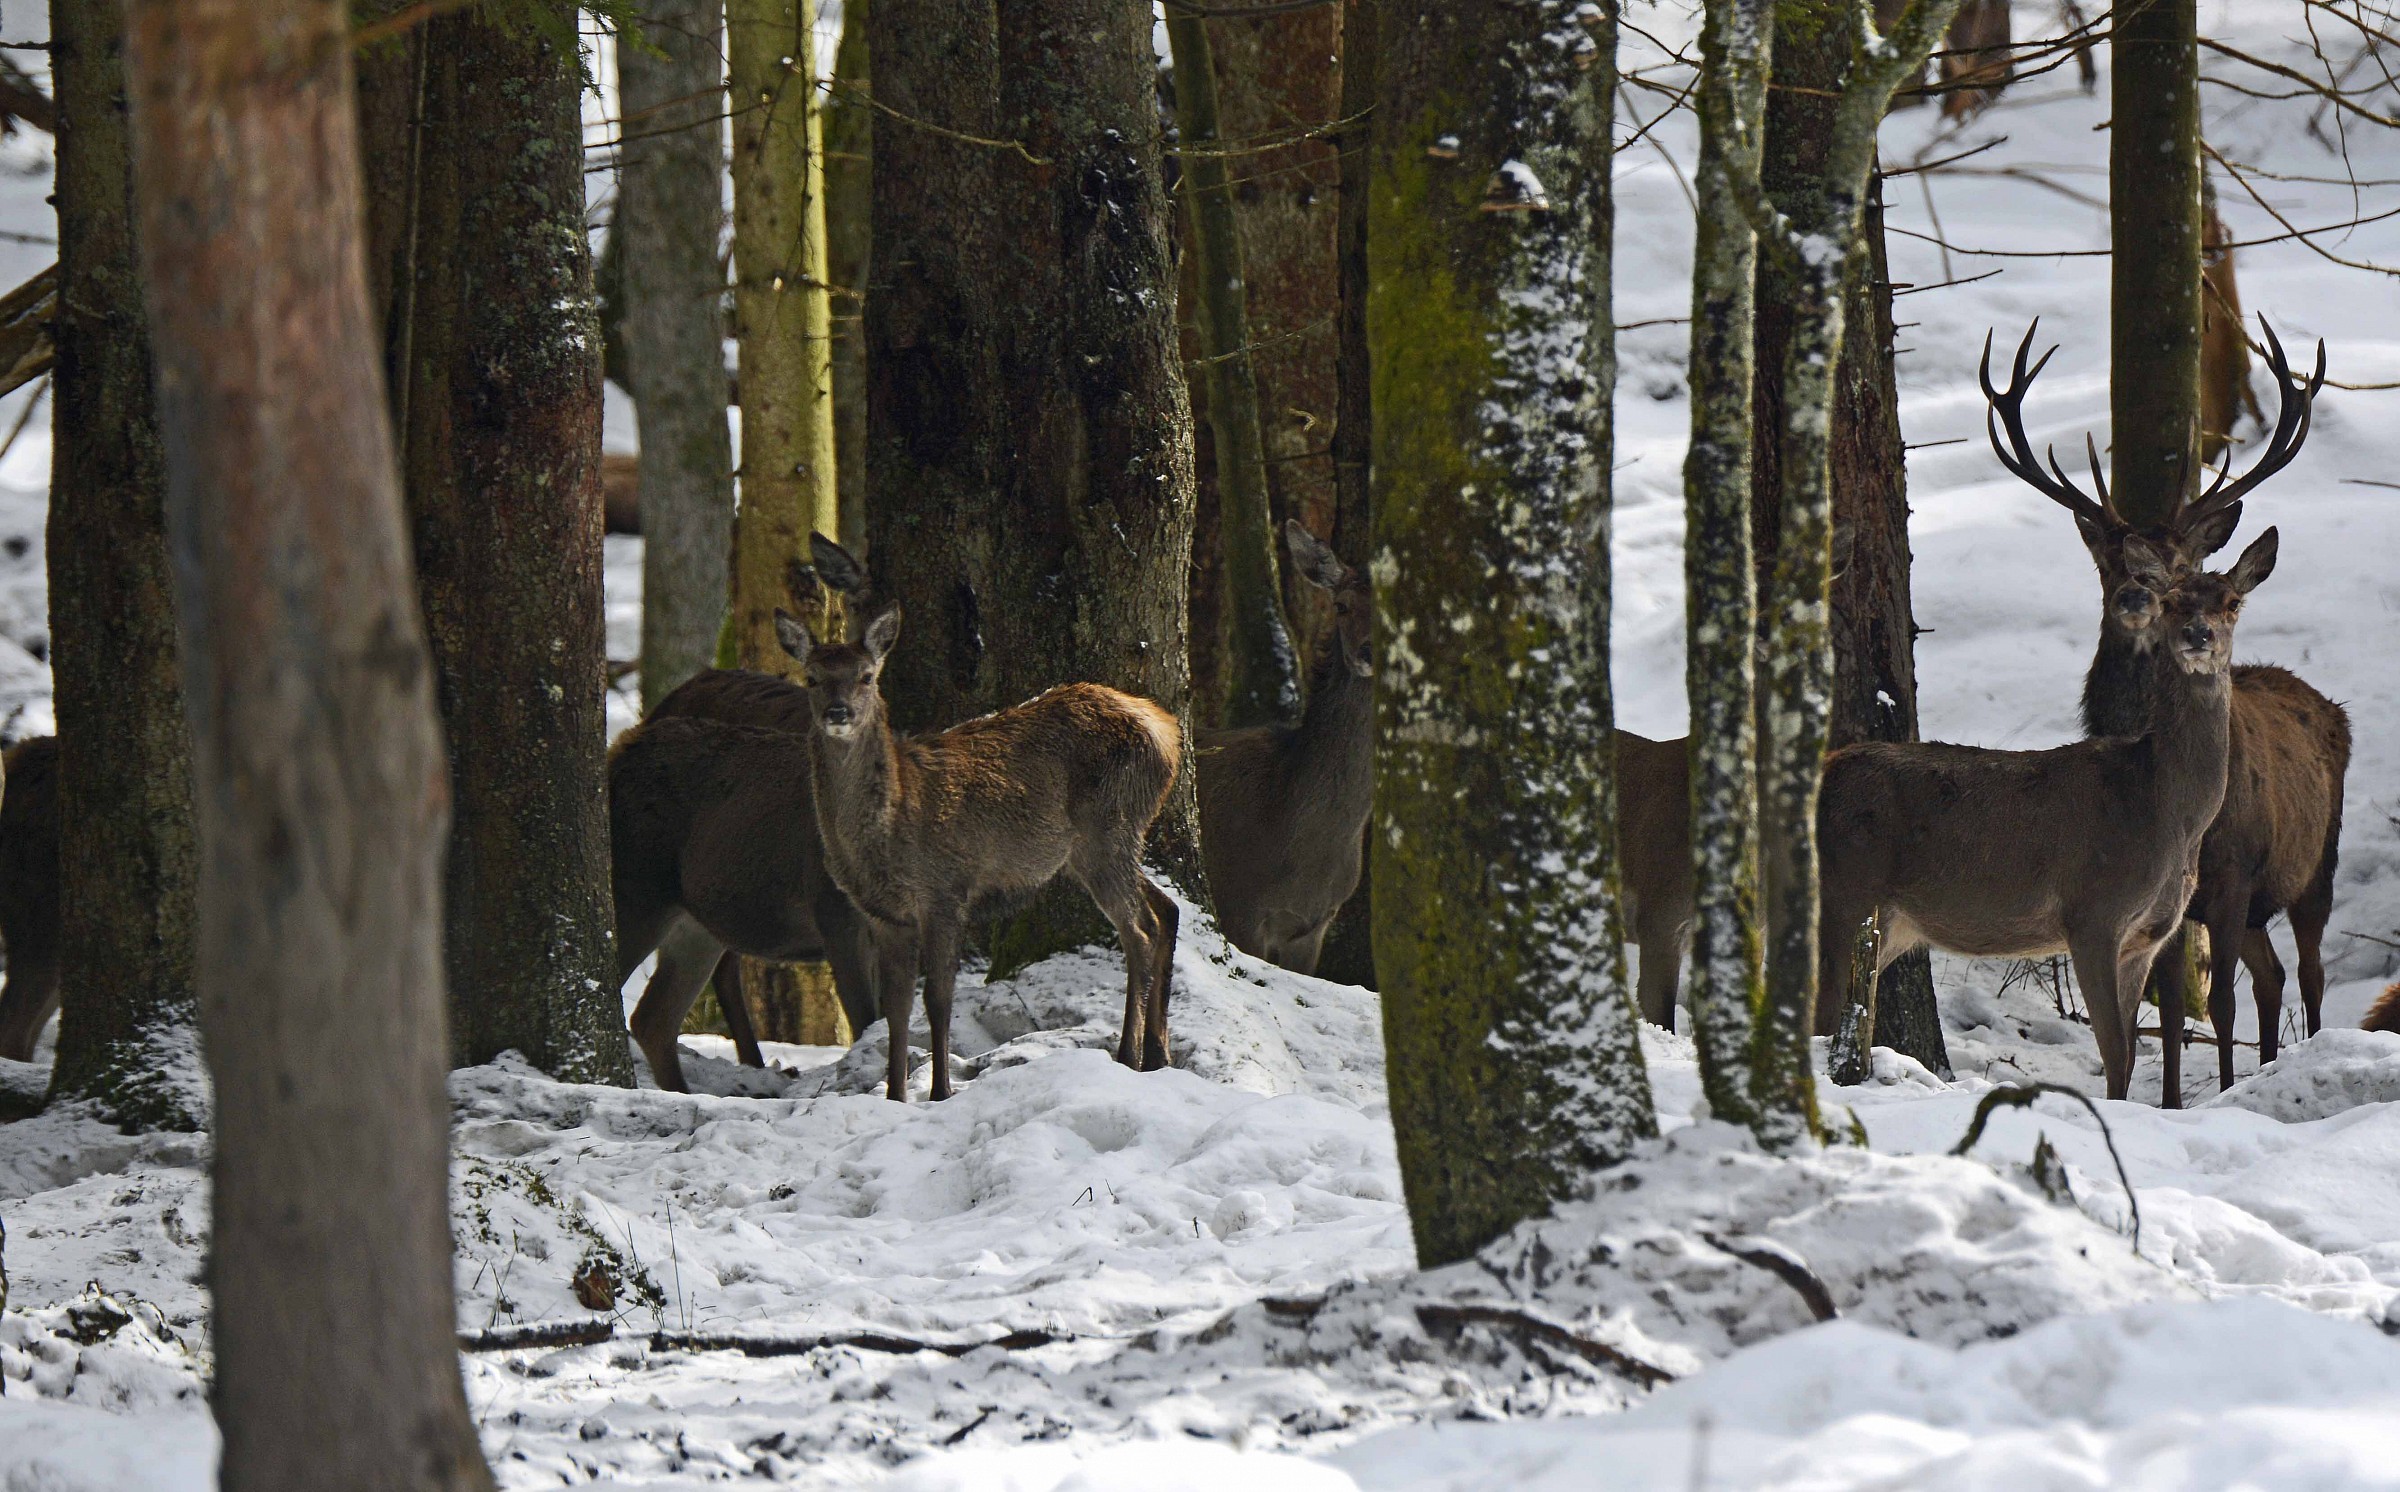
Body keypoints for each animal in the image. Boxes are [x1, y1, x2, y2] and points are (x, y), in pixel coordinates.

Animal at [773, 603, 1182, 1100]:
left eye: (867, 676)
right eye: (812, 677)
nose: (838, 712)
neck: (890, 830)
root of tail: (1169, 733)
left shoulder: (945, 889)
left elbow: (938, 997)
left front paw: (940, 1093)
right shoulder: (886, 915)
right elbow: (894, 1007)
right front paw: (895, 1096)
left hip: (1110, 825)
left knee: (1139, 931)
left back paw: (1128, 1055)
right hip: (1102, 844)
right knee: (1166, 909)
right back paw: (1158, 1056)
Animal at [1817, 529, 2276, 1101]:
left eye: (2232, 603)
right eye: (2170, 602)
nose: (2198, 634)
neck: (2162, 810)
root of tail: (1824, 774)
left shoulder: (2145, 939)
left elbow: (2127, 1053)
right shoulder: (2092, 911)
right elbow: (2115, 1053)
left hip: (1889, 924)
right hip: (1844, 892)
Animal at [1982, 319, 2348, 1102]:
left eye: (2180, 564)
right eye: (2106, 561)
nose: (2136, 597)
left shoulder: (2233, 870)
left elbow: (2221, 1000)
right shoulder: (2175, 897)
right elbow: (2177, 1004)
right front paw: (2174, 1102)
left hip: (2317, 863)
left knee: (2306, 972)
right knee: (2272, 974)